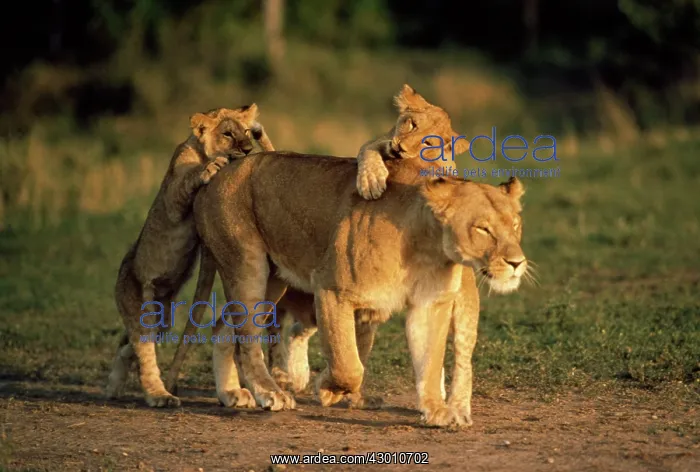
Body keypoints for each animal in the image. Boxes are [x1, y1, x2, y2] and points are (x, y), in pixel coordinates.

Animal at [105, 104, 275, 408]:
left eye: (244, 132)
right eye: (227, 134)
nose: (246, 149)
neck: (202, 150)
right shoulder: (173, 197)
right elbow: (187, 180)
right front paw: (210, 167)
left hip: (163, 318)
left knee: (128, 346)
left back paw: (114, 387)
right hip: (139, 306)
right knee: (143, 352)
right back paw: (159, 396)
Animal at [187, 150, 528, 426]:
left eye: (515, 225)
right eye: (483, 229)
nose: (517, 262)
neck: (428, 246)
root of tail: (215, 175)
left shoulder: (430, 305)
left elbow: (430, 362)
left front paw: (436, 411)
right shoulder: (332, 290)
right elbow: (347, 362)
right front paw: (326, 388)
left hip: (271, 283)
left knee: (223, 328)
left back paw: (230, 392)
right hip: (248, 267)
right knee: (246, 337)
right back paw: (270, 393)